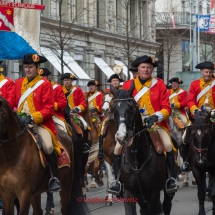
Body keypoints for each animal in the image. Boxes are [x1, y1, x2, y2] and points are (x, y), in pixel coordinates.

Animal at [111, 86, 175, 215]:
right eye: (114, 109)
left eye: (131, 108)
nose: (122, 137)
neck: (137, 158)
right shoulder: (129, 192)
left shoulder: (153, 193)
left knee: (166, 205)